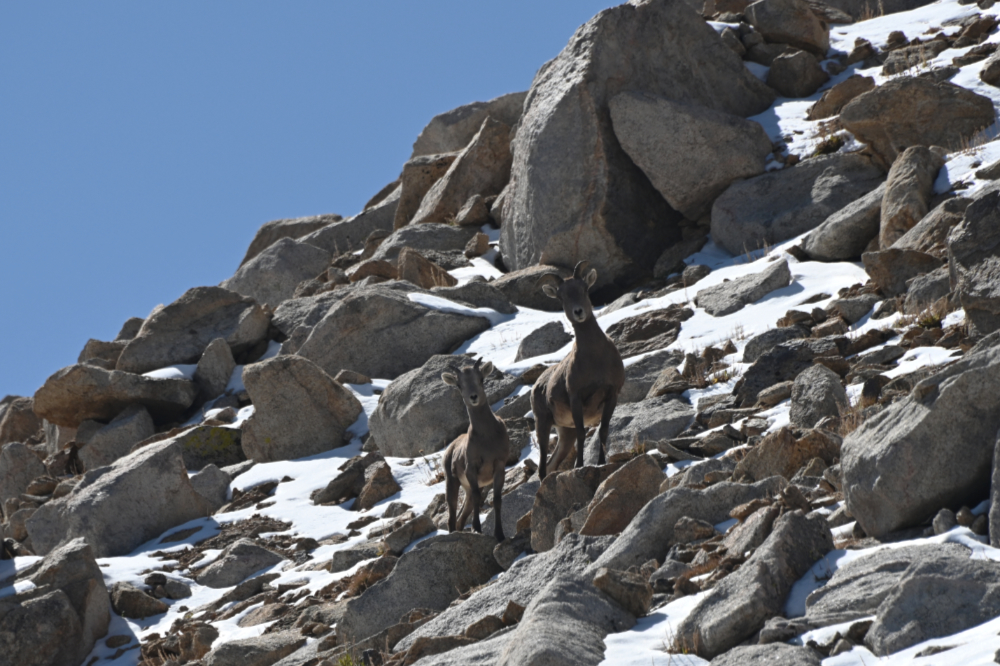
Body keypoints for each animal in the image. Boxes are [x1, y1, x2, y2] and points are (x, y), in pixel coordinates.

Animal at [441, 358, 511, 542]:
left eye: (481, 378)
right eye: (459, 385)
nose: (473, 397)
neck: (486, 438)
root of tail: (450, 449)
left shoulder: (499, 466)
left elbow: (497, 499)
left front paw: (499, 534)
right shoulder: (471, 469)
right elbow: (479, 498)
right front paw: (477, 528)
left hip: (466, 490)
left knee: (461, 518)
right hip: (452, 482)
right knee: (452, 517)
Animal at [531, 261, 624, 479]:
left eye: (584, 289)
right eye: (562, 297)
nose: (579, 312)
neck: (595, 358)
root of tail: (536, 386)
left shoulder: (612, 395)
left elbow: (603, 430)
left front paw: (601, 462)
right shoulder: (576, 398)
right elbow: (583, 433)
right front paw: (580, 465)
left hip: (566, 434)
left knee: (551, 465)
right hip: (543, 424)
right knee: (542, 467)